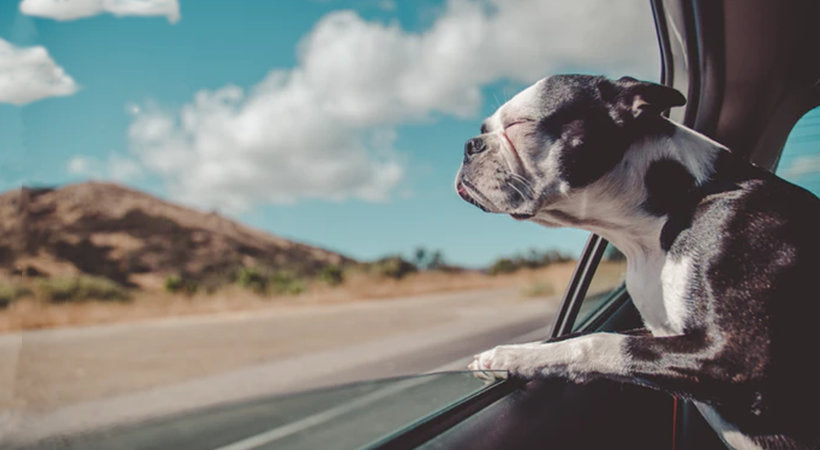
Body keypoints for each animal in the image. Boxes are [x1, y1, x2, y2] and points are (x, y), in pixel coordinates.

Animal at [454, 75, 820, 448]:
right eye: (484, 129)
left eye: (520, 124)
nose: (470, 145)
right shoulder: (658, 331)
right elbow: (577, 335)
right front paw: (510, 354)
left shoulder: (733, 359)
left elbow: (596, 342)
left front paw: (513, 356)